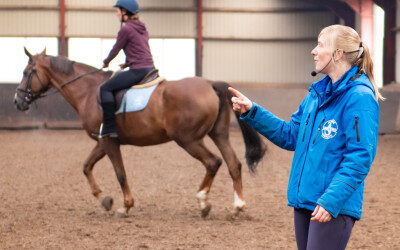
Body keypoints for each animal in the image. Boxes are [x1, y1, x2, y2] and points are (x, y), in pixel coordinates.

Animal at [14, 47, 266, 218]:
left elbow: (120, 173)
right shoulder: (102, 142)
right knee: (233, 164)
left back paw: (203, 202)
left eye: (27, 72)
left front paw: (125, 206)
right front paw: (105, 200)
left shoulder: (109, 142)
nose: (18, 101)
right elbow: (86, 167)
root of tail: (210, 84)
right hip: (218, 135)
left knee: (213, 162)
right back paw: (237, 206)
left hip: (187, 139)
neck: (88, 91)